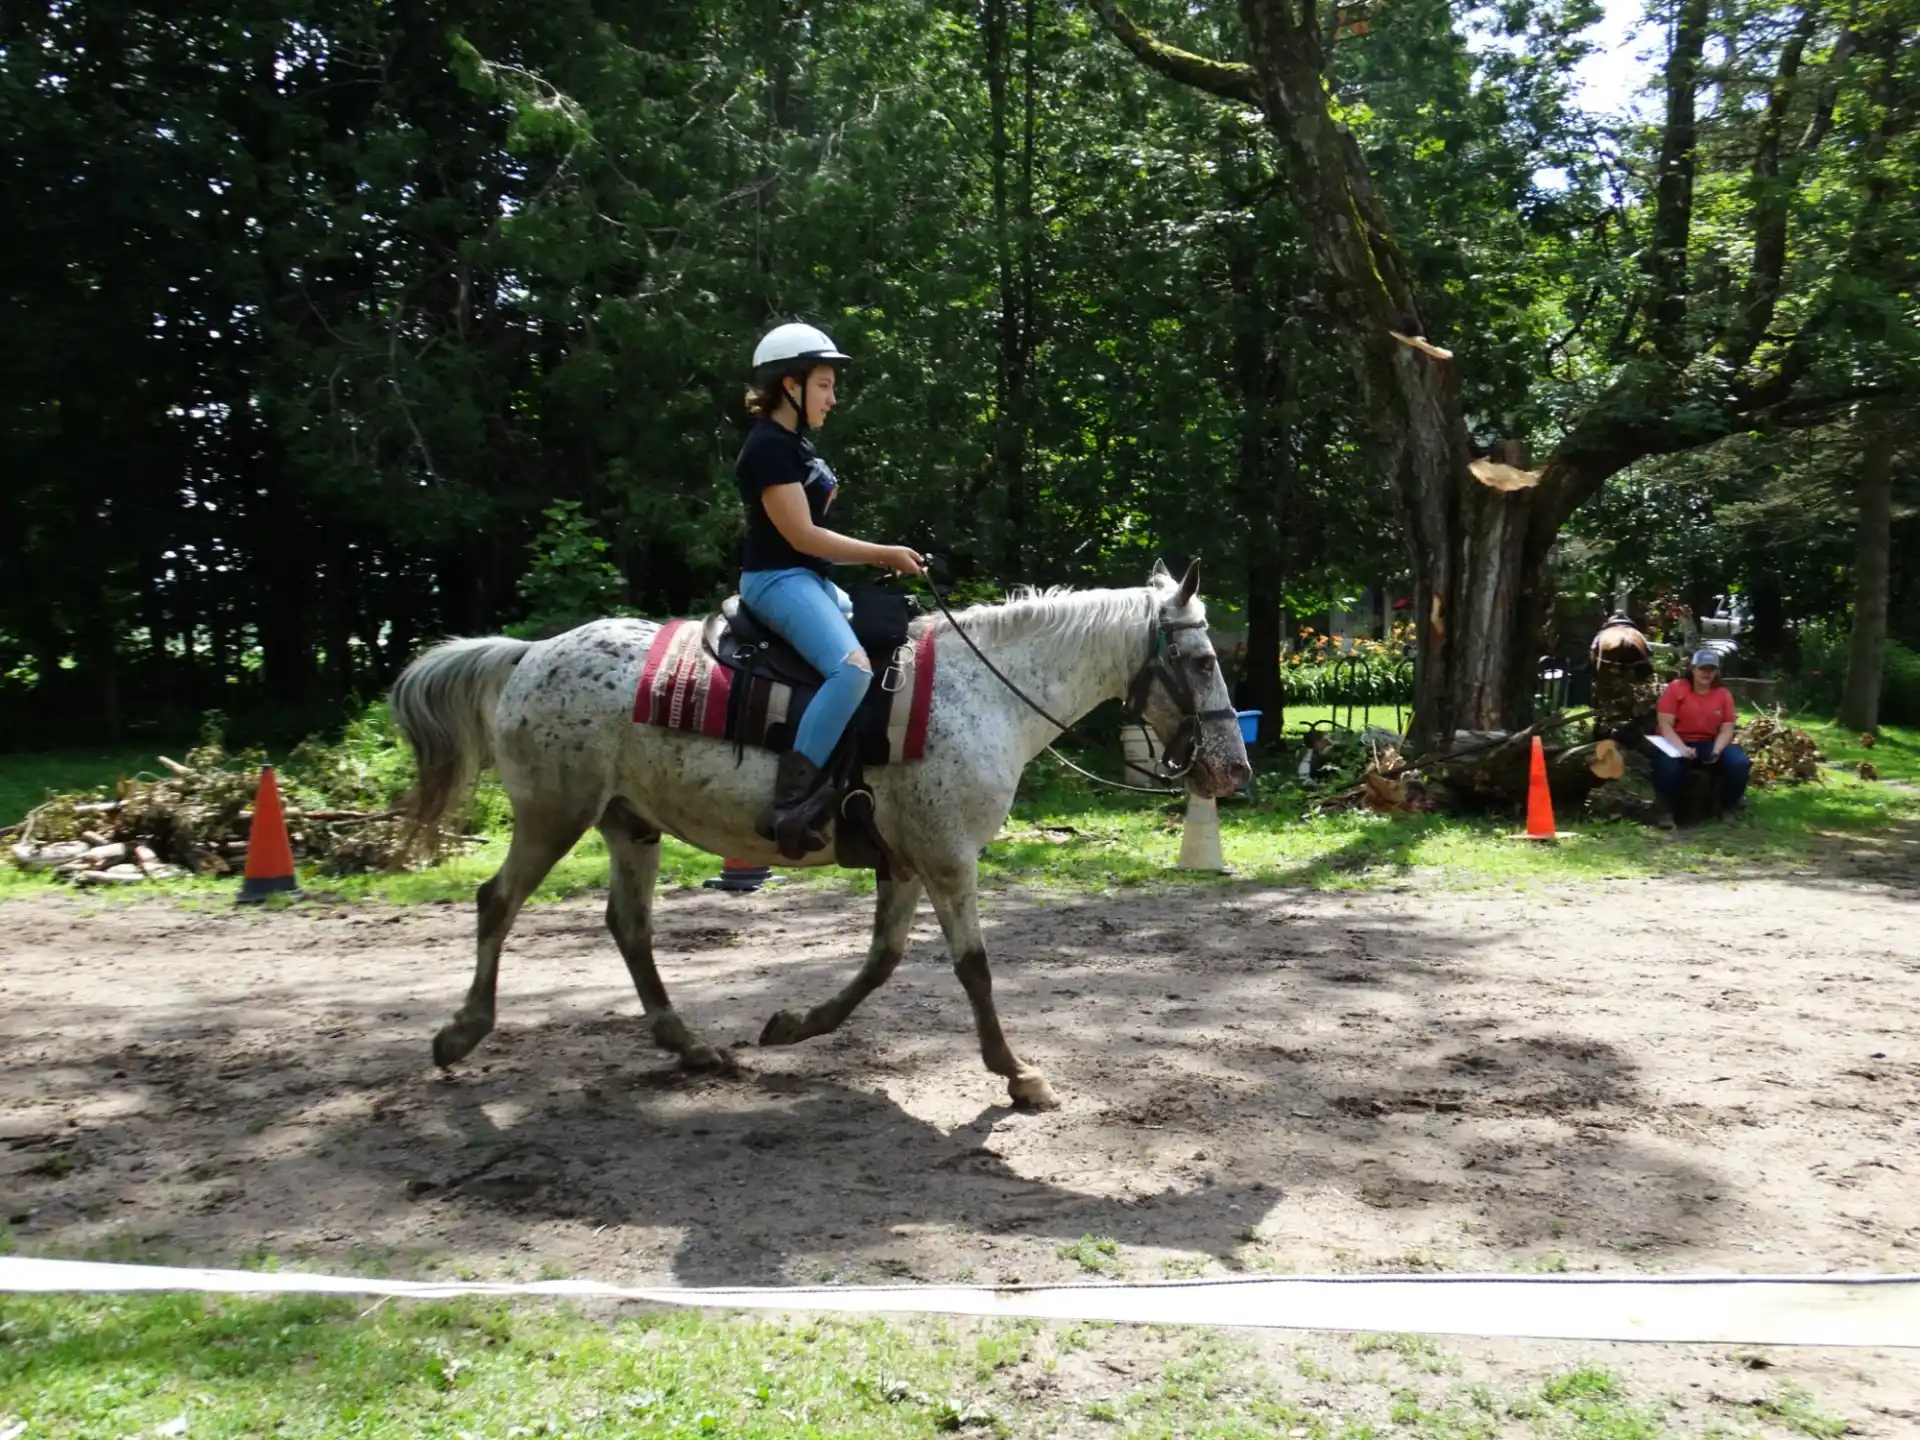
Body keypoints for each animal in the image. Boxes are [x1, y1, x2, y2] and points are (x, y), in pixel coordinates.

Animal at [389, 560, 1251, 1110]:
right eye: (1202, 660)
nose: (1233, 768)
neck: (983, 692)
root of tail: (532, 653)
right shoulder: (947, 858)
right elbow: (973, 968)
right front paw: (1017, 1074)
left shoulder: (906, 859)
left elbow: (881, 963)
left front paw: (793, 1027)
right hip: (552, 814)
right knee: (497, 901)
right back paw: (462, 1033)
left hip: (629, 825)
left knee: (628, 926)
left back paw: (692, 1046)